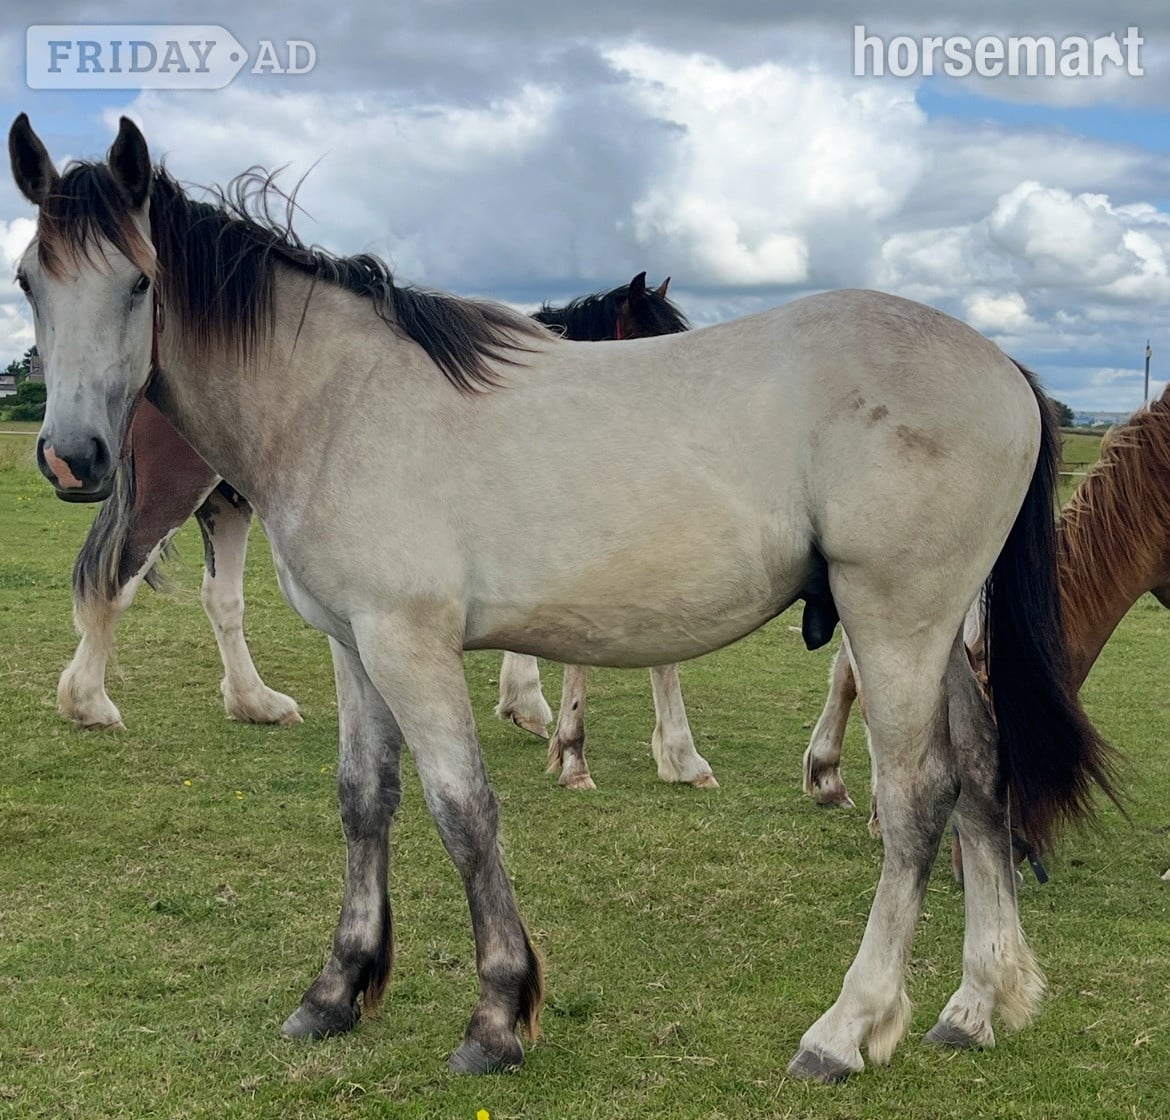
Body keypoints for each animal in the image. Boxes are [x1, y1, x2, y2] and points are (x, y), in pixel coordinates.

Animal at [10, 114, 1117, 1082]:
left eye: (139, 280)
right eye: (29, 279)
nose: (73, 457)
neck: (339, 399)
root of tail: (1002, 367)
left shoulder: (409, 644)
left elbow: (462, 810)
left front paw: (499, 1014)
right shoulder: (352, 644)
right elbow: (364, 800)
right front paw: (337, 990)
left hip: (895, 625)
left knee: (919, 798)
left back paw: (849, 1028)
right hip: (940, 633)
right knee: (981, 777)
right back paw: (978, 1005)